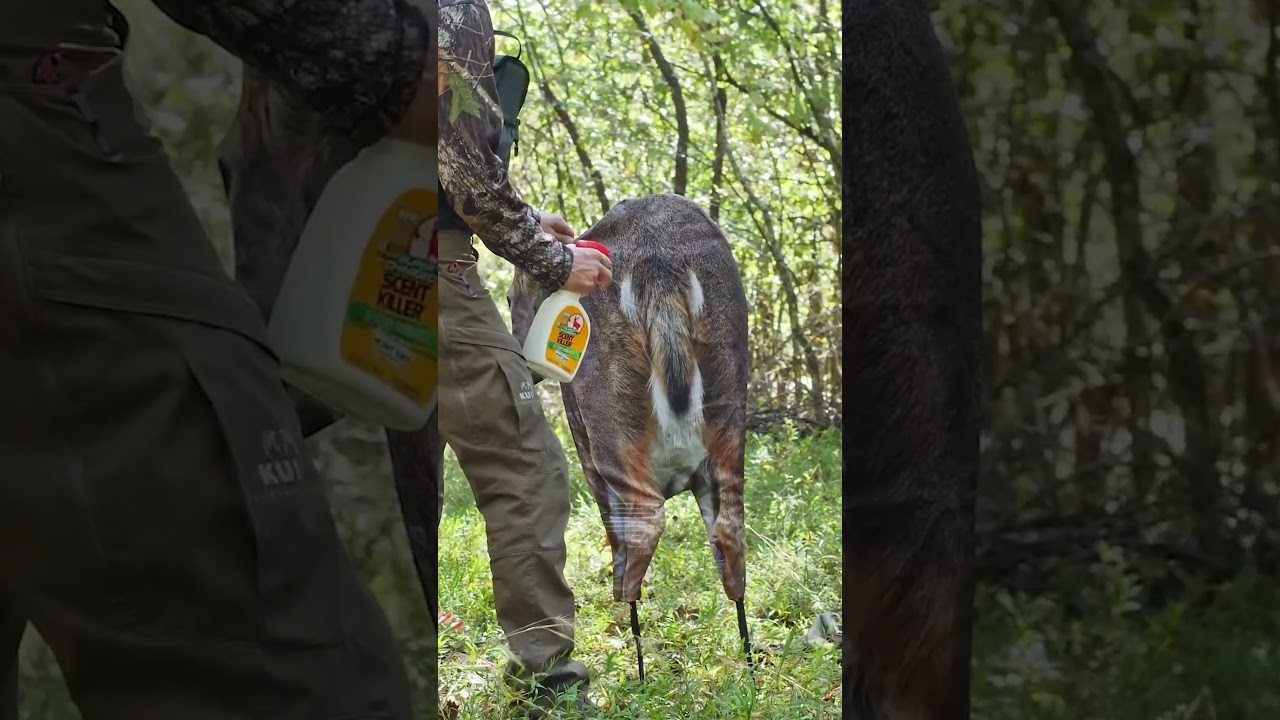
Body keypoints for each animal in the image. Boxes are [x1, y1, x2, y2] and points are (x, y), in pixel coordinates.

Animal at [507, 193, 754, 682]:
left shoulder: (587, 449)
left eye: (510, 297)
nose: (525, 363)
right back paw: (750, 661)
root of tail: (661, 264)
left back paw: (637, 668)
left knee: (643, 523)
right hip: (730, 415)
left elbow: (612, 530)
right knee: (729, 528)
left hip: (610, 427)